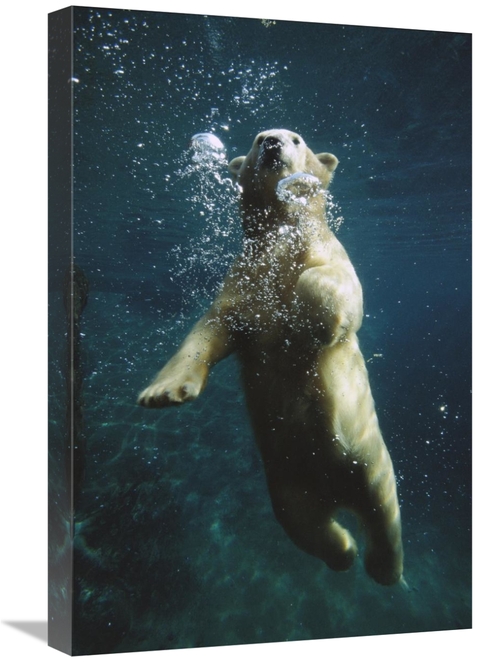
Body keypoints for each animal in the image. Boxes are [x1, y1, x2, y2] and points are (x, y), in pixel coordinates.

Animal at [138, 129, 404, 586]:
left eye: (296, 138)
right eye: (257, 137)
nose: (273, 143)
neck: (281, 230)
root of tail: (335, 490)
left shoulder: (326, 252)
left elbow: (336, 287)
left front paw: (310, 322)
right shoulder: (241, 282)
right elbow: (208, 332)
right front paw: (161, 392)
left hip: (368, 459)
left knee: (383, 510)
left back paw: (382, 568)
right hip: (287, 481)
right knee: (304, 523)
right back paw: (344, 550)